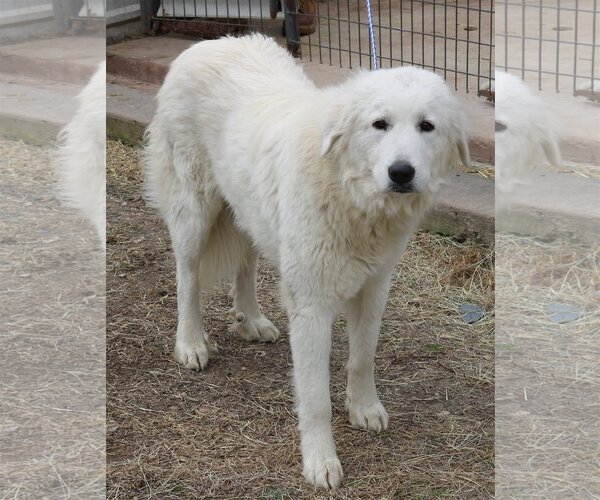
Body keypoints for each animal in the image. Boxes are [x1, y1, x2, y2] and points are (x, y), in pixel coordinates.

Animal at [144, 35, 468, 488]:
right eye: (380, 124)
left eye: (427, 126)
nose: (401, 173)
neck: (349, 193)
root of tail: (208, 43)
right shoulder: (312, 307)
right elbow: (316, 400)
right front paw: (320, 462)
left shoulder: (374, 289)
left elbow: (362, 359)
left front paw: (363, 408)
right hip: (194, 213)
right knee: (187, 278)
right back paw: (191, 343)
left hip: (249, 210)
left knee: (246, 264)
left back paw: (251, 320)